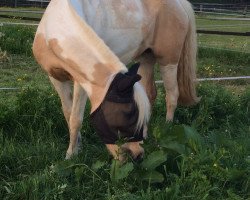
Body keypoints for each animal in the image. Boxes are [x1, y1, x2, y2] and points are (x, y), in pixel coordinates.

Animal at [32, 0, 199, 160]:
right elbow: (69, 114)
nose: (138, 155)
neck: (57, 28)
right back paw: (146, 135)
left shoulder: (82, 82)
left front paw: (70, 155)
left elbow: (76, 119)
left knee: (172, 95)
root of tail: (179, 3)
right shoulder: (56, 78)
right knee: (150, 93)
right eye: (126, 117)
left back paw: (167, 128)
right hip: (146, 57)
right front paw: (75, 150)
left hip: (168, 61)